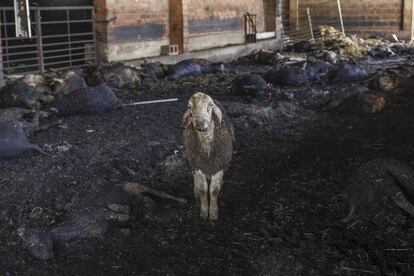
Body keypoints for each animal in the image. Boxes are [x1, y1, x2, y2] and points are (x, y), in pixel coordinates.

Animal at [182, 91, 236, 221]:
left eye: (210, 105)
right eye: (190, 107)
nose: (201, 124)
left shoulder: (219, 166)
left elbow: (214, 191)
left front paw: (213, 212)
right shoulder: (198, 166)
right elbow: (203, 190)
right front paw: (204, 211)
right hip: (192, 161)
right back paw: (195, 190)